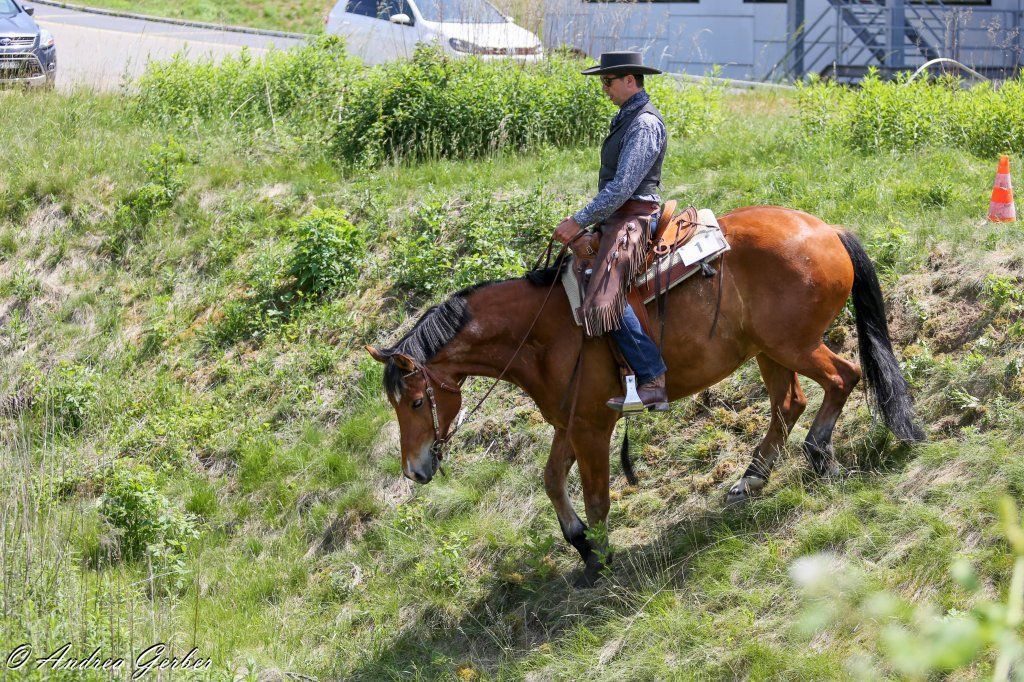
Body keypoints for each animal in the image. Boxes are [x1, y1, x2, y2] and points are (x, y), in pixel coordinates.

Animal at [366, 205, 925, 587]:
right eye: (395, 405)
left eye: (415, 402)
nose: (415, 471)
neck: (542, 331)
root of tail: (828, 229)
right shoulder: (571, 422)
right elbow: (552, 481)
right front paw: (582, 546)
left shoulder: (593, 426)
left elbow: (597, 497)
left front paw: (602, 556)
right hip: (769, 351)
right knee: (790, 403)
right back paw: (751, 478)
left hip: (795, 344)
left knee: (844, 377)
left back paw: (819, 453)